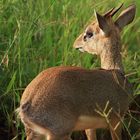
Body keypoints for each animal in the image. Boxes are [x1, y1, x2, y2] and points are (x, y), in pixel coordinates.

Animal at [17, 3, 136, 139]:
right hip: (59, 134)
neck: (115, 72)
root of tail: (27, 103)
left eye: (89, 33)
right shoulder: (116, 121)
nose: (76, 44)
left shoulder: (91, 127)